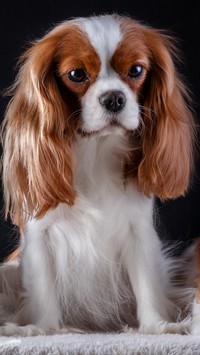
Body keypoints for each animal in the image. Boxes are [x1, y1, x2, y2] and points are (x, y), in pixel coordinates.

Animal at [0, 13, 195, 336]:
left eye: (136, 70)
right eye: (77, 74)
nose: (114, 98)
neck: (95, 150)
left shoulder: (137, 230)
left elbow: (146, 282)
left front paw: (157, 325)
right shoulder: (41, 236)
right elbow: (43, 290)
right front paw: (42, 329)